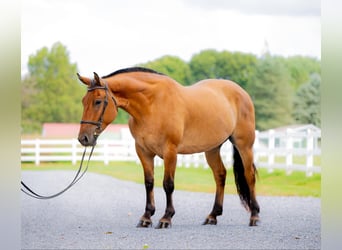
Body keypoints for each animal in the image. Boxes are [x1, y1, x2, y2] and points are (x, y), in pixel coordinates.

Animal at [77, 66, 260, 229]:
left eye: (97, 102)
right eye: (83, 101)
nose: (83, 138)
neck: (152, 105)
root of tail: (241, 92)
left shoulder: (170, 151)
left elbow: (168, 184)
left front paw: (166, 218)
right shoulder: (143, 151)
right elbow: (149, 182)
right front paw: (146, 217)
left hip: (244, 145)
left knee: (249, 175)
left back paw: (254, 215)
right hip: (212, 148)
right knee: (220, 175)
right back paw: (213, 216)